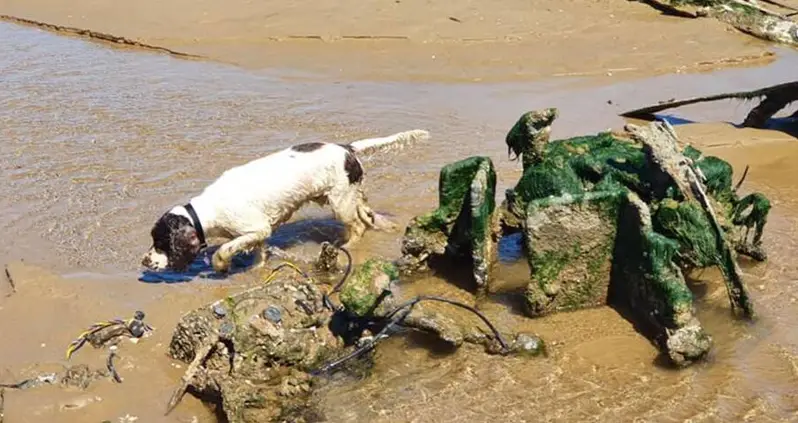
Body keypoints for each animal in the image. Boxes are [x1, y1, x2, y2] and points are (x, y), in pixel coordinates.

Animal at [141, 129, 428, 274]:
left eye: (161, 242)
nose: (144, 262)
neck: (208, 210)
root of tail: (347, 147)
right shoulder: (258, 234)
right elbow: (257, 253)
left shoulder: (258, 228)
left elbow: (224, 249)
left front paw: (221, 265)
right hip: (349, 195)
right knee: (367, 214)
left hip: (340, 202)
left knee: (357, 226)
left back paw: (348, 246)